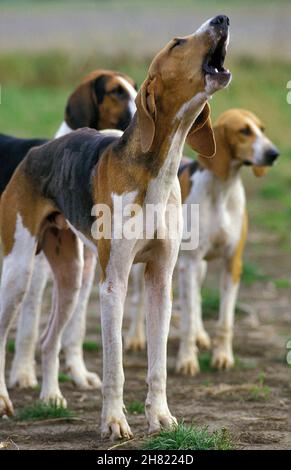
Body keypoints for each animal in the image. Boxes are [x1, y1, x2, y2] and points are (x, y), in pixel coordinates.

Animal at [0, 15, 233, 440]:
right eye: (177, 43)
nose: (221, 18)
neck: (157, 169)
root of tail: (35, 151)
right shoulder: (114, 286)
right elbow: (115, 369)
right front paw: (113, 421)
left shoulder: (160, 280)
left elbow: (158, 366)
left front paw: (161, 418)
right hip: (20, 274)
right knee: (6, 332)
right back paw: (6, 401)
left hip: (72, 276)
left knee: (48, 341)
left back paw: (51, 396)